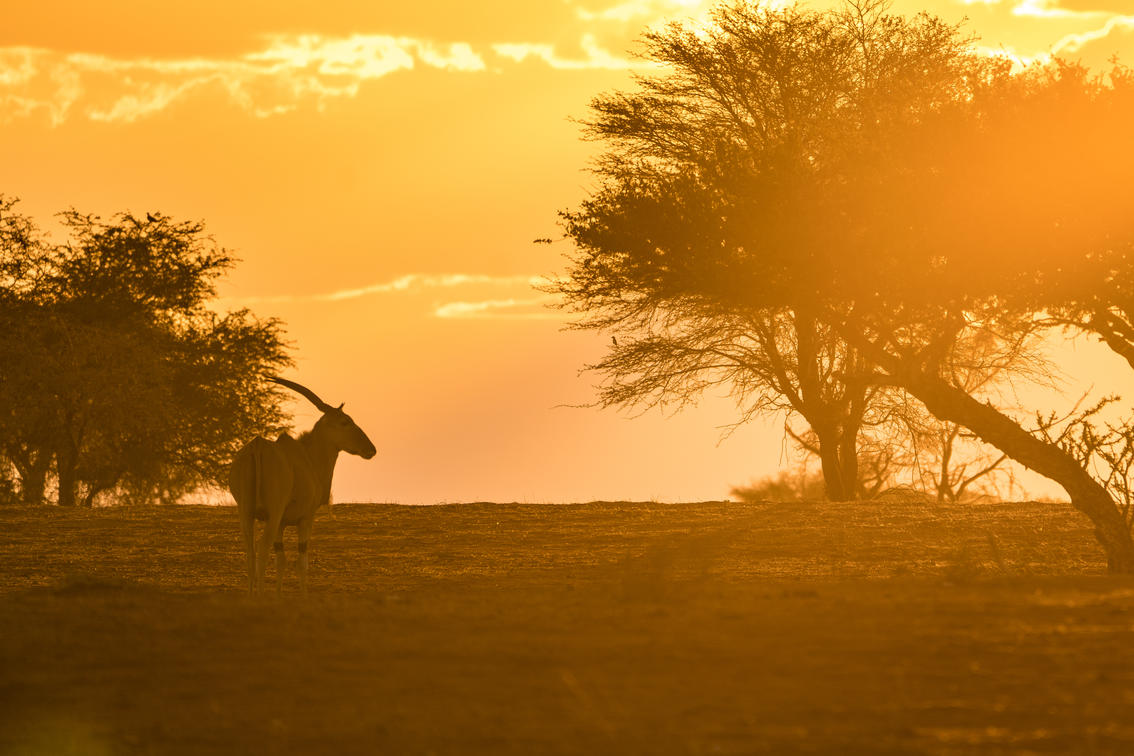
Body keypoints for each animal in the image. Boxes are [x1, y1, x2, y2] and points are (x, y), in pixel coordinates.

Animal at [229, 377, 376, 594]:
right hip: (273, 514)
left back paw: (251, 595)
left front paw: (279, 595)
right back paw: (260, 595)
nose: (371, 449)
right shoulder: (305, 518)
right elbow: (301, 562)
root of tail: (257, 446)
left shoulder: (281, 524)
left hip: (245, 512)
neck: (307, 456)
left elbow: (281, 560)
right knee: (262, 548)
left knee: (250, 552)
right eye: (345, 422)